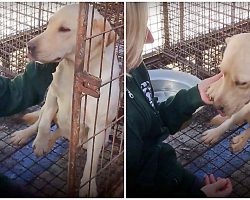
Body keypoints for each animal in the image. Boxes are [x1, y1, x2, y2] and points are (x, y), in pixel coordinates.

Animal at [11, 4, 120, 197]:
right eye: (48, 25)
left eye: (64, 29)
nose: (28, 46)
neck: (74, 73)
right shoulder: (52, 95)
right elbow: (44, 124)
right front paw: (40, 142)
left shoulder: (97, 125)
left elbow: (92, 163)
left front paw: (88, 187)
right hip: (48, 108)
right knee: (40, 123)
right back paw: (26, 136)